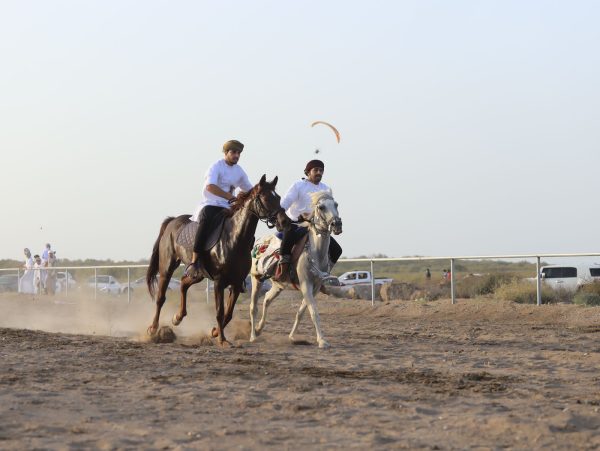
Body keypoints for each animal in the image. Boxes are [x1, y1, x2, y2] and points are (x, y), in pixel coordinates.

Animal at [146, 175, 288, 347]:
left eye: (278, 197)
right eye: (267, 198)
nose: (284, 221)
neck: (234, 239)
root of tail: (172, 221)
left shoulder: (236, 284)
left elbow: (228, 314)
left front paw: (214, 332)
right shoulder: (219, 283)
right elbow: (220, 312)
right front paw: (222, 340)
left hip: (198, 274)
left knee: (184, 283)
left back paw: (177, 318)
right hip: (167, 268)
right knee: (161, 297)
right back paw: (153, 329)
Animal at [249, 190, 342, 348]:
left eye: (336, 204)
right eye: (321, 207)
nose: (337, 225)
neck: (316, 254)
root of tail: (260, 243)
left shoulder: (315, 287)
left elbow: (301, 312)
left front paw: (292, 337)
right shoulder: (305, 285)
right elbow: (313, 312)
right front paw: (322, 341)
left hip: (278, 285)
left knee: (266, 299)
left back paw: (259, 329)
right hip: (256, 278)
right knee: (253, 307)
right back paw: (253, 336)